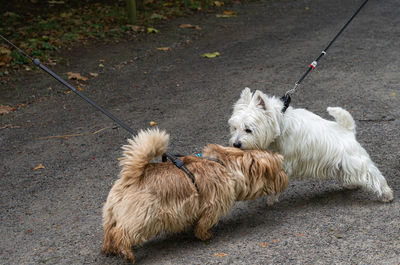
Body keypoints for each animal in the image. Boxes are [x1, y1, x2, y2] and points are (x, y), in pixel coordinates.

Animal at [101, 128, 286, 262]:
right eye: (278, 169)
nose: (286, 176)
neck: (227, 165)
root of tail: (131, 177)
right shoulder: (213, 205)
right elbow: (204, 223)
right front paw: (204, 235)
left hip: (111, 214)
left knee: (110, 230)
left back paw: (109, 248)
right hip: (143, 218)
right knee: (122, 233)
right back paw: (126, 253)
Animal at [228, 87, 394, 201]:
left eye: (248, 129)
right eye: (234, 128)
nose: (236, 144)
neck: (280, 124)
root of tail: (348, 131)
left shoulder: (284, 161)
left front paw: (270, 197)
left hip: (356, 161)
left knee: (373, 176)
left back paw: (387, 194)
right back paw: (351, 184)